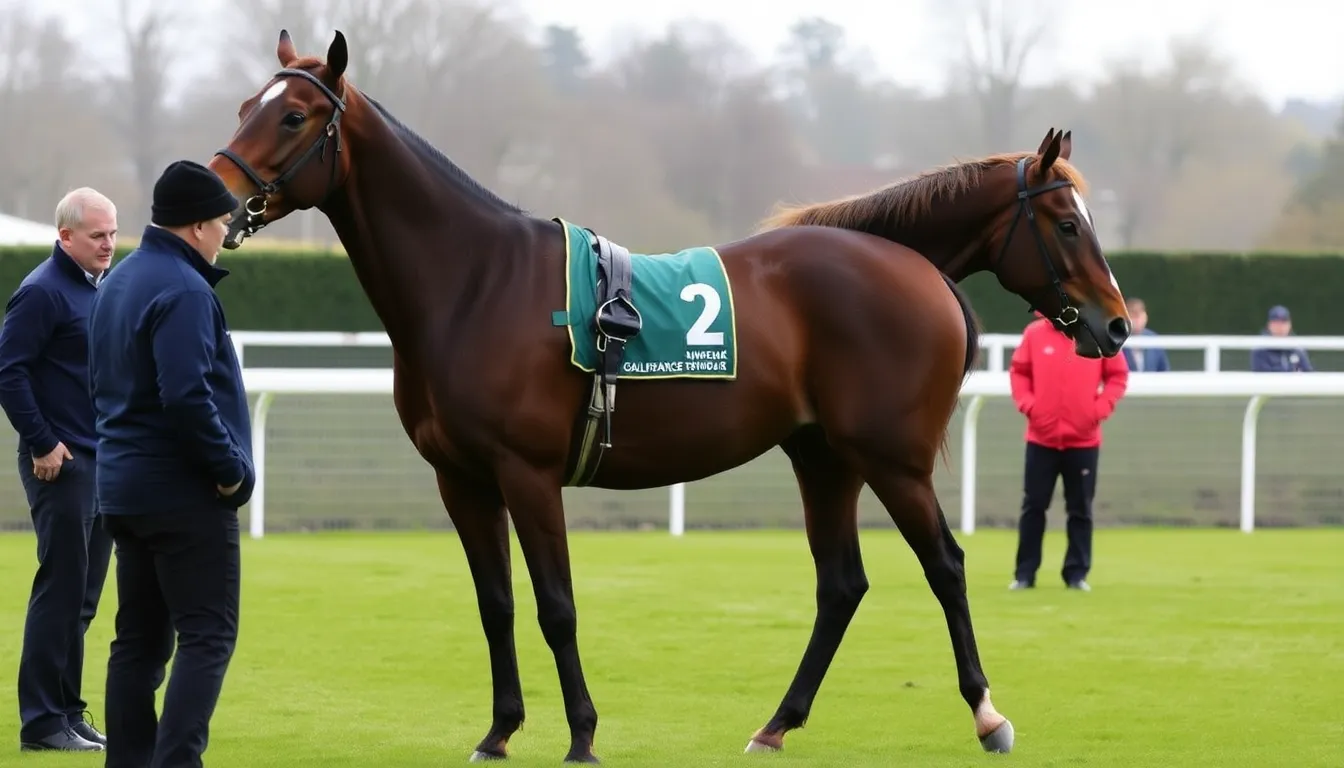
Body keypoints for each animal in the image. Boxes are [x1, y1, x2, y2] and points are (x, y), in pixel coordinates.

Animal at [207, 29, 1130, 764]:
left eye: (294, 117)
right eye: (249, 104)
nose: (1115, 323)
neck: (475, 280)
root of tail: (912, 265)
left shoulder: (527, 473)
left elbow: (555, 607)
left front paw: (581, 735)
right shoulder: (461, 478)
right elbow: (496, 604)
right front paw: (499, 732)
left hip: (891, 460)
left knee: (945, 565)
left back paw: (986, 715)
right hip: (824, 458)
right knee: (842, 584)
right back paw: (776, 724)